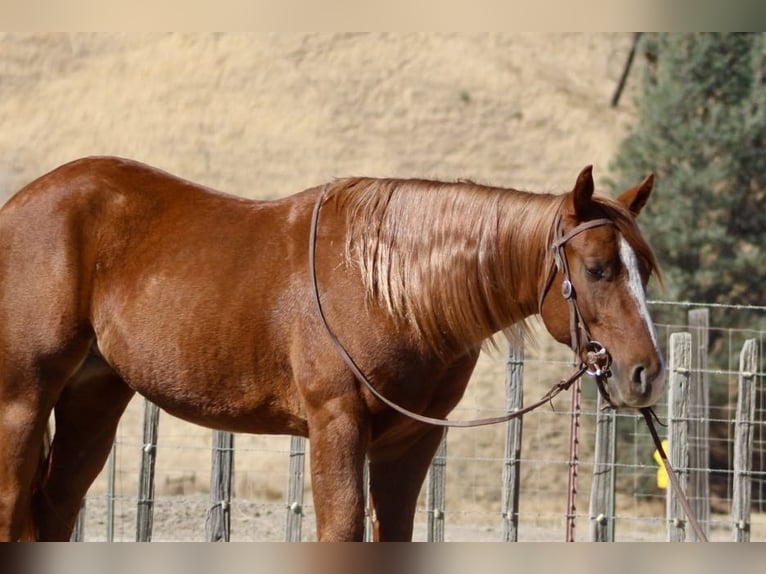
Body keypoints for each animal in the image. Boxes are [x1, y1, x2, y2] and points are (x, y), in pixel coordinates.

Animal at [0, 156, 663, 541]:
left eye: (645, 269)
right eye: (599, 268)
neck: (392, 288)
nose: (644, 374)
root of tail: (20, 206)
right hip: (23, 403)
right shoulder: (337, 425)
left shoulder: (410, 442)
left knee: (53, 508)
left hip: (93, 400)